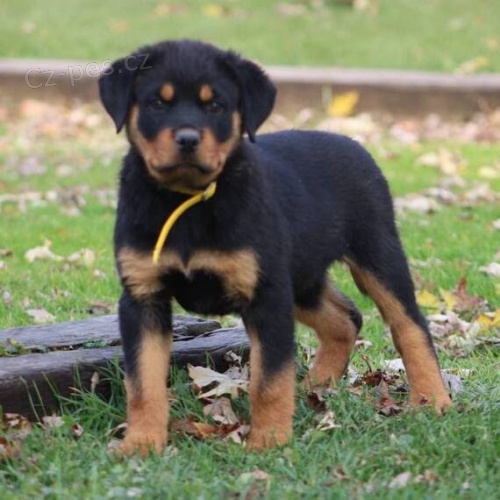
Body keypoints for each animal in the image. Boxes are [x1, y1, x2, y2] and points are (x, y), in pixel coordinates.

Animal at [99, 41, 452, 456]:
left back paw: (432, 398)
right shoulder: (143, 296)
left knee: (409, 324)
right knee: (345, 319)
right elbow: (142, 382)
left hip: (376, 252)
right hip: (300, 277)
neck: (187, 202)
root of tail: (352, 143)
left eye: (215, 105)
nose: (187, 140)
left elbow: (269, 379)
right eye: (157, 102)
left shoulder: (266, 295)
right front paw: (141, 443)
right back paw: (316, 385)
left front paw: (268, 441)